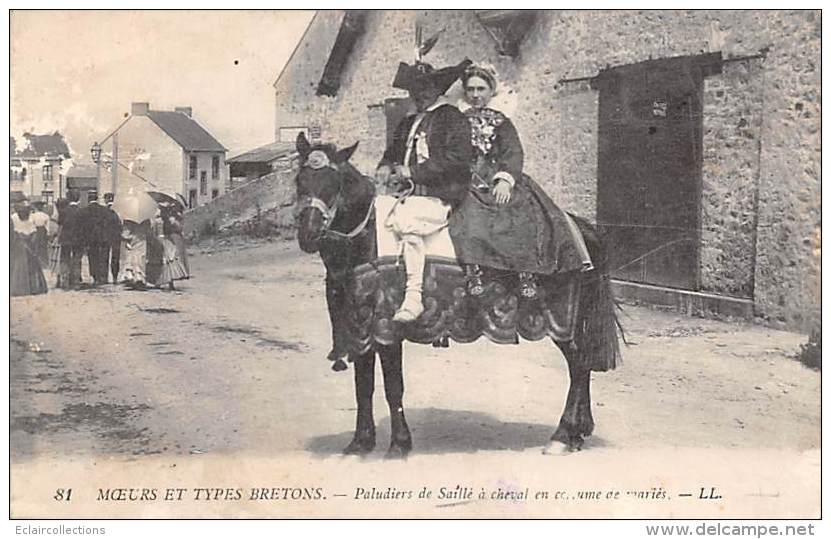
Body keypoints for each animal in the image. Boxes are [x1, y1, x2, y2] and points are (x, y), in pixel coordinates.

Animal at [292, 133, 616, 458]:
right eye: (299, 180)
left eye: (334, 182)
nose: (308, 235)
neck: (369, 238)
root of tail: (581, 228)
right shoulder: (360, 327)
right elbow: (363, 385)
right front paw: (361, 441)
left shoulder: (386, 329)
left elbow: (393, 387)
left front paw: (399, 443)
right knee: (580, 366)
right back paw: (577, 432)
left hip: (561, 321)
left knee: (579, 365)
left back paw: (563, 434)